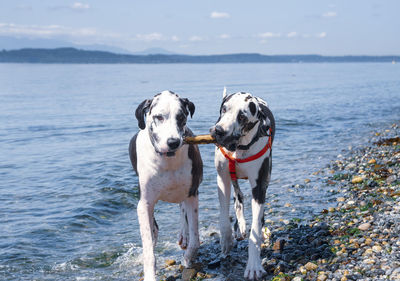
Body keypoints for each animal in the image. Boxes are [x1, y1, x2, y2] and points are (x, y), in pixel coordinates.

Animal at [129, 91, 202, 278]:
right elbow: (149, 249)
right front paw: (149, 275)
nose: (173, 142)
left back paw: (184, 235)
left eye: (181, 116)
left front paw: (187, 259)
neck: (168, 160)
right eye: (159, 117)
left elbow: (195, 240)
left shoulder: (192, 194)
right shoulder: (144, 203)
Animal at [209, 87, 276, 278]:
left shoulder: (259, 187)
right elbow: (224, 216)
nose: (219, 131)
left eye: (242, 117)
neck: (239, 148)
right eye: (224, 109)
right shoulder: (222, 179)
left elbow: (255, 232)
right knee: (238, 198)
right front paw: (226, 240)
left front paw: (253, 265)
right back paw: (239, 225)